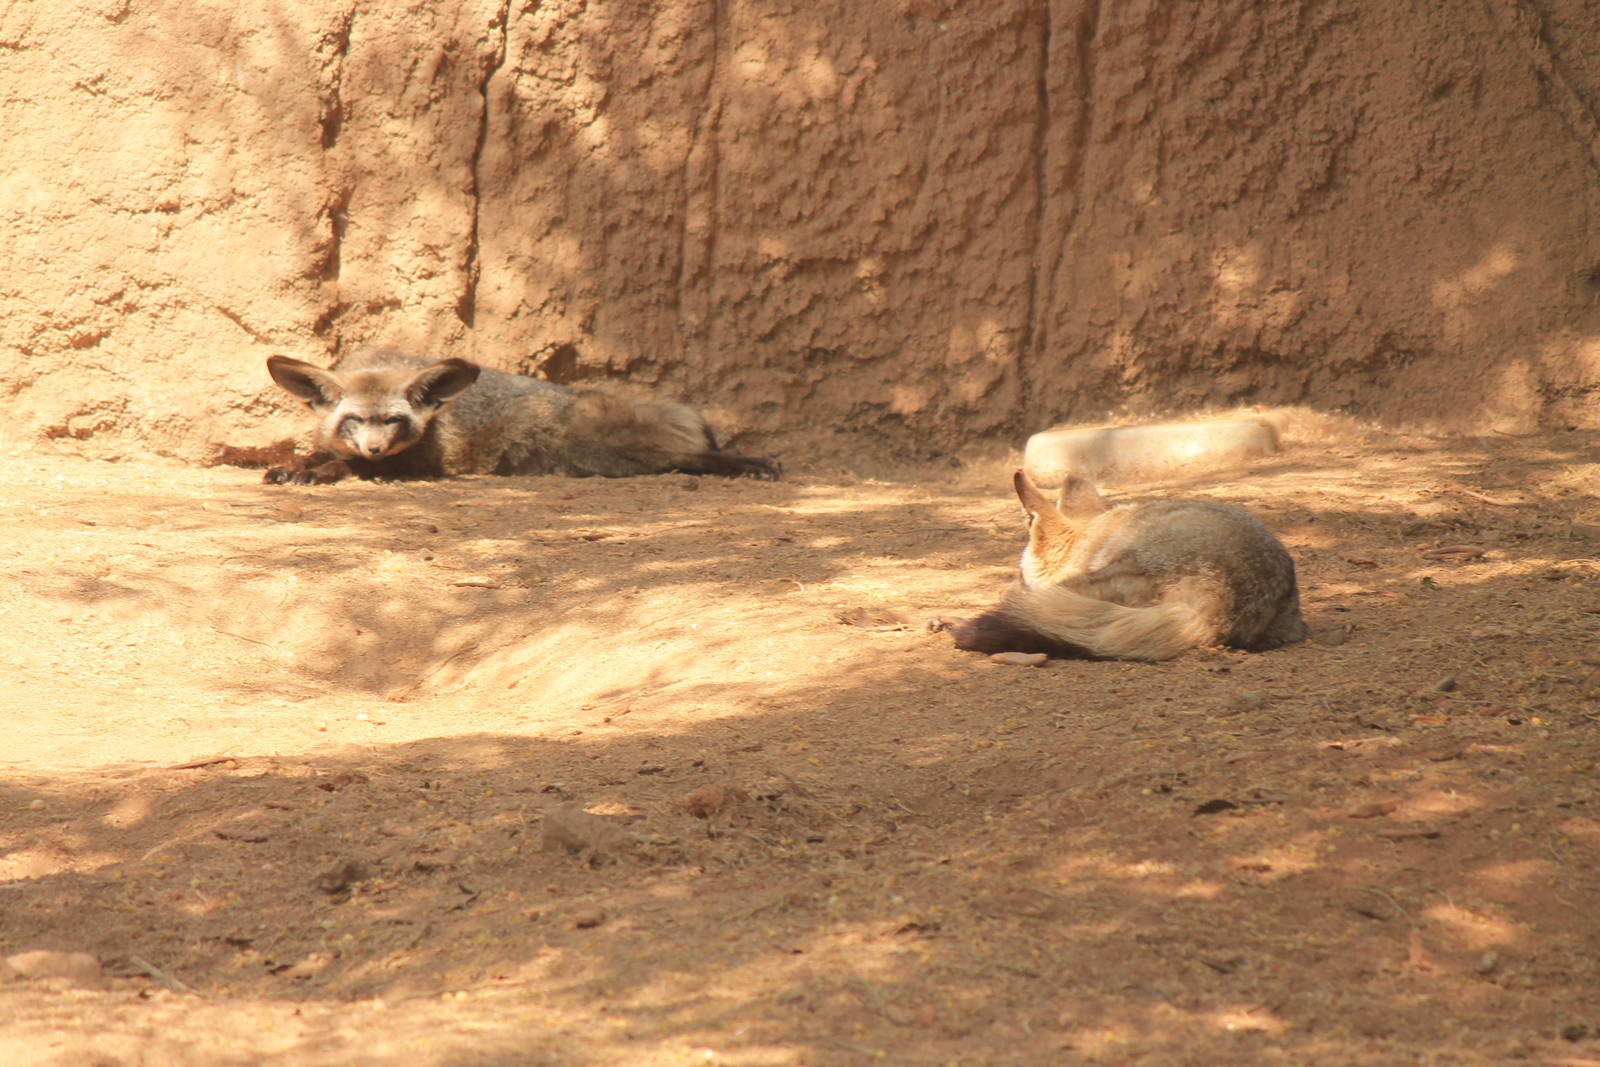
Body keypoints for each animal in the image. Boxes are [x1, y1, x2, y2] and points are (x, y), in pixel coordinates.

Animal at [262, 347, 778, 484]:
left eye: (394, 421)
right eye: (353, 420)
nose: (373, 448)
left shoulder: (415, 463)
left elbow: (345, 466)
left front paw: (321, 472)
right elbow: (317, 454)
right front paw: (295, 465)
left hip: (618, 456)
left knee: (698, 458)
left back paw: (753, 464)